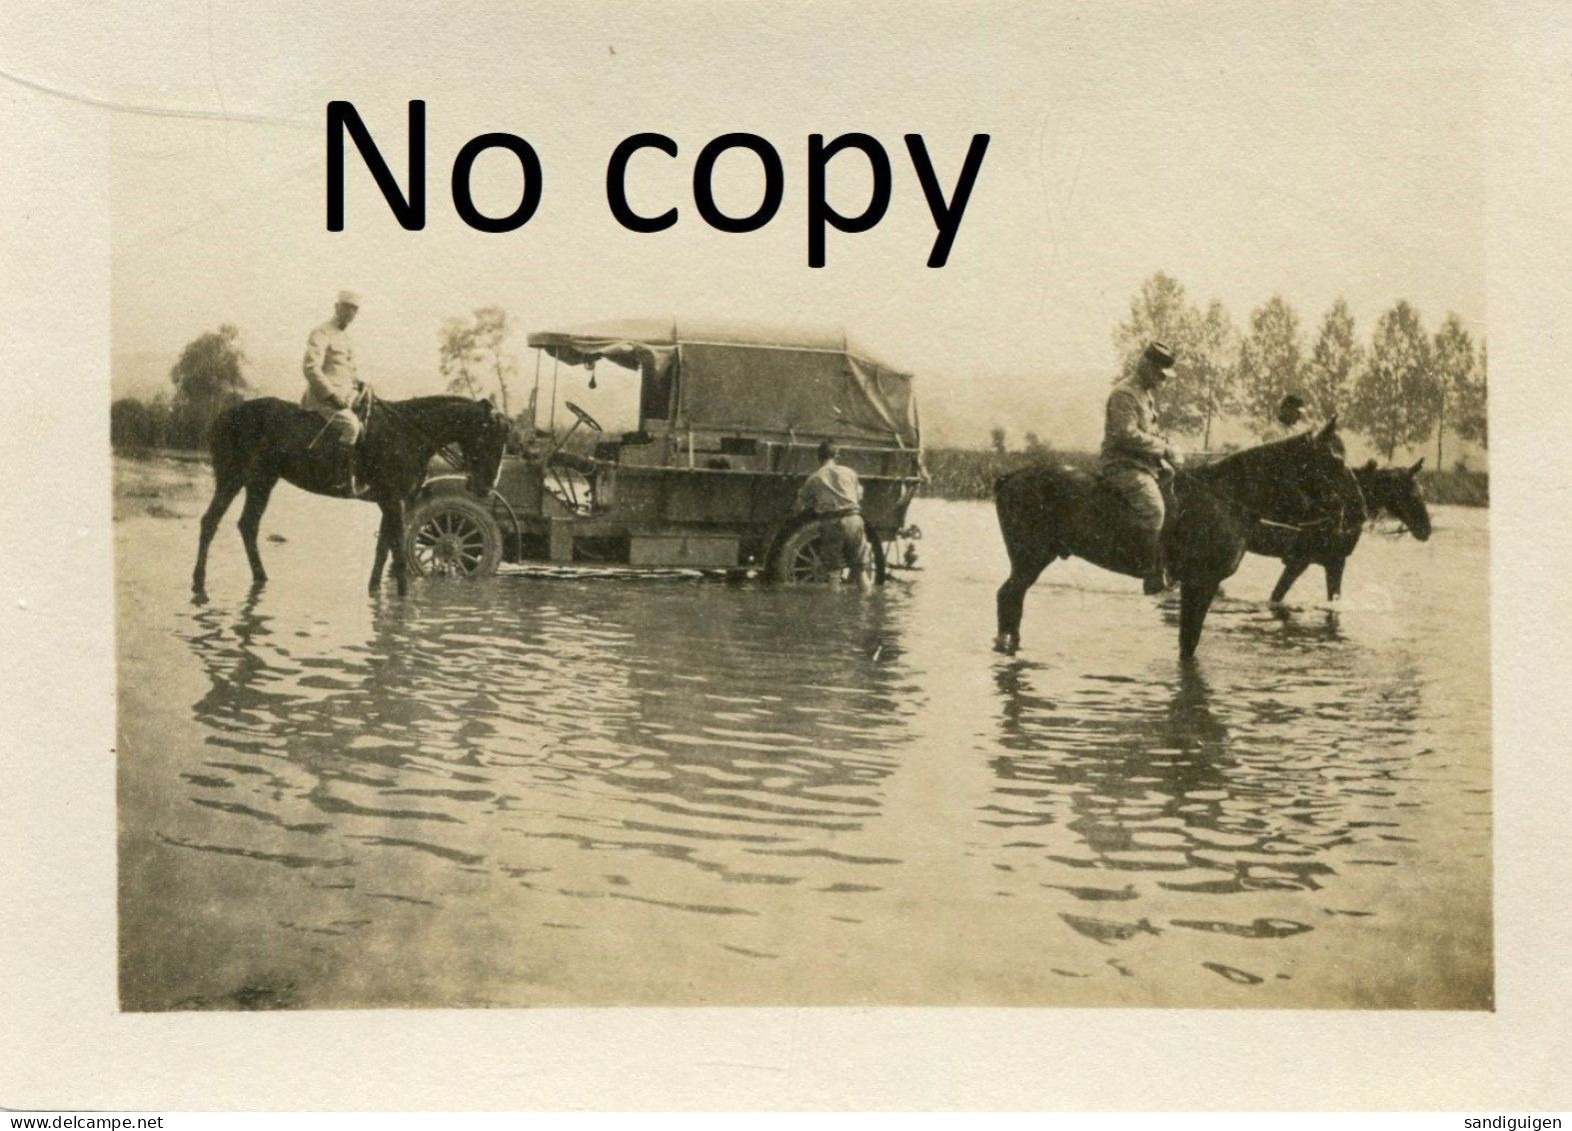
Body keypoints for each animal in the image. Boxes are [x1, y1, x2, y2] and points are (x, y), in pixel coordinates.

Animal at [189, 393, 509, 597]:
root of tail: (223, 415)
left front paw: (375, 590)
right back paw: (199, 581)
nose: (485, 487)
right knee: (210, 522)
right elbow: (397, 553)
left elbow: (383, 550)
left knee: (248, 525)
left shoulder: (391, 502)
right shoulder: (393, 501)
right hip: (233, 477)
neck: (408, 435)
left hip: (262, 481)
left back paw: (260, 578)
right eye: (491, 438)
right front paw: (403, 599)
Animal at [993, 421, 1351, 660]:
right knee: (1009, 597)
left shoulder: (1203, 585)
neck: (1224, 498)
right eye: (1335, 459)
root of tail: (1010, 476)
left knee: (1013, 600)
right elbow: (1188, 642)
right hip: (1030, 559)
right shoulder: (1199, 583)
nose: (1351, 507)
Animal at [1257, 456, 1433, 607]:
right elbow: (1276, 596)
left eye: (1422, 492)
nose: (1425, 529)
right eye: (1411, 493)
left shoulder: (1329, 563)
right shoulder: (1305, 562)